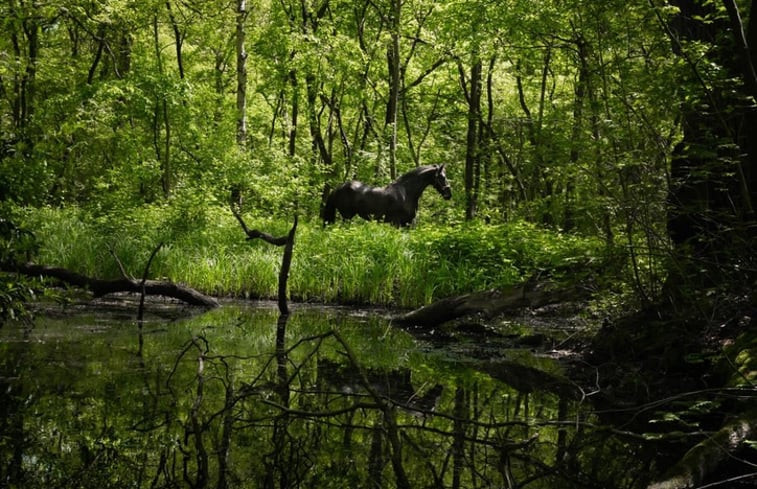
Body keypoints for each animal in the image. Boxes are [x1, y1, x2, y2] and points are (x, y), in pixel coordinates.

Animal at [320, 163, 448, 226]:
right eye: (442, 177)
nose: (449, 193)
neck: (407, 193)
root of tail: (338, 188)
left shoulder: (407, 223)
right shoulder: (396, 223)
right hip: (347, 217)